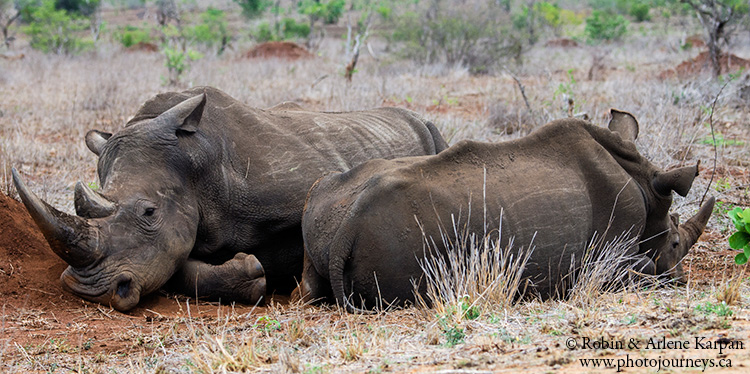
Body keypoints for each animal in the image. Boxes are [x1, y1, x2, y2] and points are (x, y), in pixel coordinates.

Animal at [11, 86, 450, 312]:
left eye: (149, 212)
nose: (90, 291)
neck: (194, 165)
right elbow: (179, 268)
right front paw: (252, 273)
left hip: (426, 129)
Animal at [298, 109, 716, 312]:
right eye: (675, 243)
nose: (680, 279)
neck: (644, 186)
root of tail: (347, 230)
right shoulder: (612, 252)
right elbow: (638, 269)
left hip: (323, 202)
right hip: (400, 237)